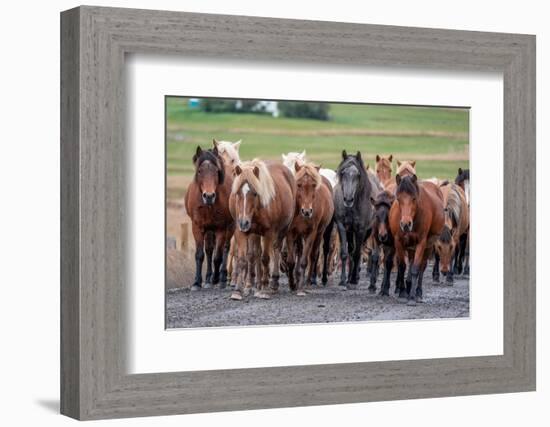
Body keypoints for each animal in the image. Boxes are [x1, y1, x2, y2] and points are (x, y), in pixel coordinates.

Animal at [185, 146, 235, 290]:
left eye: (216, 171)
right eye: (200, 171)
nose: (209, 196)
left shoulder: (221, 229)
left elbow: (218, 256)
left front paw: (216, 279)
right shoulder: (197, 227)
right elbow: (200, 254)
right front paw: (197, 282)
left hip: (230, 227)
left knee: (225, 248)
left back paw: (222, 278)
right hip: (208, 229)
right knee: (208, 250)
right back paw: (207, 278)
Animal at [229, 159, 298, 300]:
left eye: (255, 193)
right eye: (238, 193)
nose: (244, 222)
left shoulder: (268, 232)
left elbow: (265, 259)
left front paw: (264, 290)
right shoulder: (241, 232)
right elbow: (243, 259)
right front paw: (238, 290)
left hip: (283, 229)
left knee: (276, 249)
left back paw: (273, 282)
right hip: (255, 233)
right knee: (255, 254)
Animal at [284, 162, 336, 296]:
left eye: (313, 185)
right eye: (298, 184)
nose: (307, 211)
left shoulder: (310, 233)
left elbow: (305, 261)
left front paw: (301, 286)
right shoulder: (291, 233)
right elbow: (291, 261)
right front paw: (292, 284)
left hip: (323, 231)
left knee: (316, 253)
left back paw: (312, 280)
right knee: (302, 251)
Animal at [332, 151, 380, 290]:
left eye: (358, 175)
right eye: (343, 173)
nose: (348, 199)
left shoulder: (361, 229)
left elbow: (357, 253)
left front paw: (353, 279)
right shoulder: (343, 226)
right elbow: (345, 253)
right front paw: (344, 280)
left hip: (369, 231)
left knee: (364, 251)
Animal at [390, 176, 446, 306]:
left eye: (414, 198)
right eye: (398, 198)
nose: (405, 224)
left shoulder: (421, 243)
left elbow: (416, 268)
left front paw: (411, 297)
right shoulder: (398, 241)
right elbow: (402, 266)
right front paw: (403, 292)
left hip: (428, 245)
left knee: (422, 266)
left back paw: (418, 293)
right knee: (410, 261)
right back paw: (408, 286)